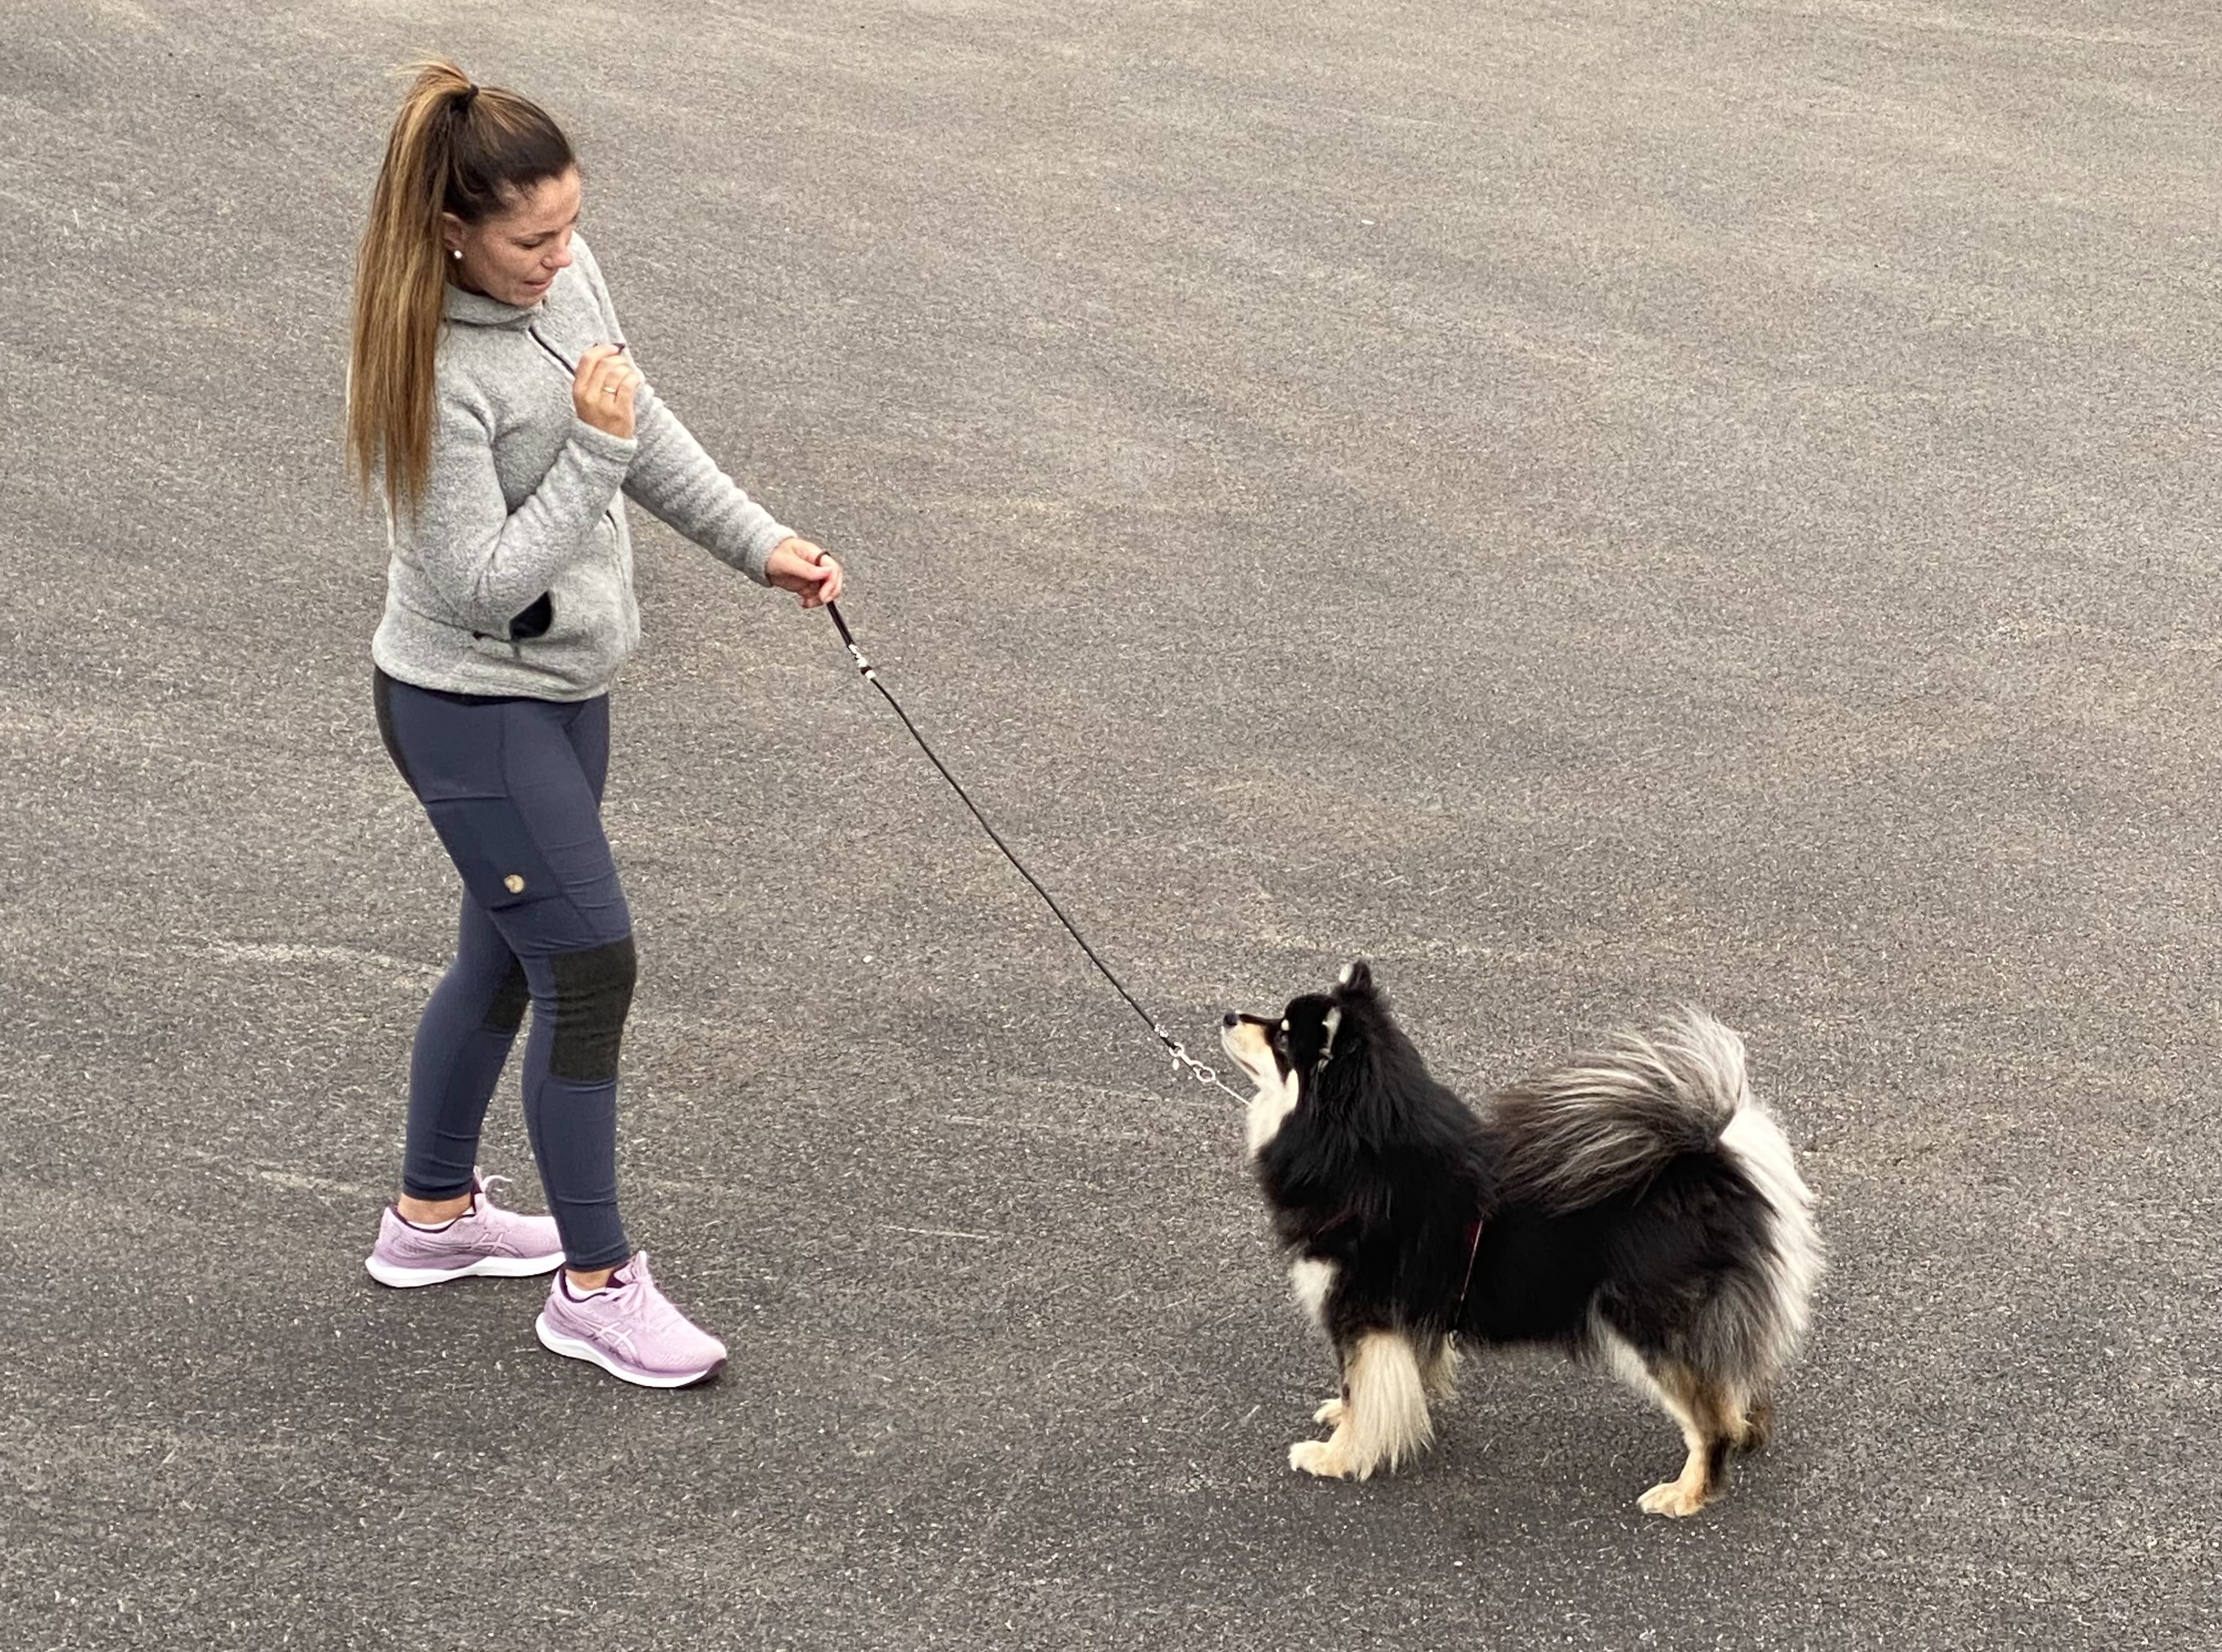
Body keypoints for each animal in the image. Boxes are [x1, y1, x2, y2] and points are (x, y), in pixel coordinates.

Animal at [1218, 965, 1822, 1520]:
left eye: (1281, 1037)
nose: (1227, 1016)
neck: (1359, 1150)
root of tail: (1711, 1168)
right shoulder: (1405, 1318)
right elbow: (1377, 1385)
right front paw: (1352, 1419)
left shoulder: (1363, 1313)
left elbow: (1358, 1386)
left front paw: (1336, 1455)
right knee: (1734, 1385)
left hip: (1648, 1327)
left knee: (1707, 1420)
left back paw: (1688, 1492)